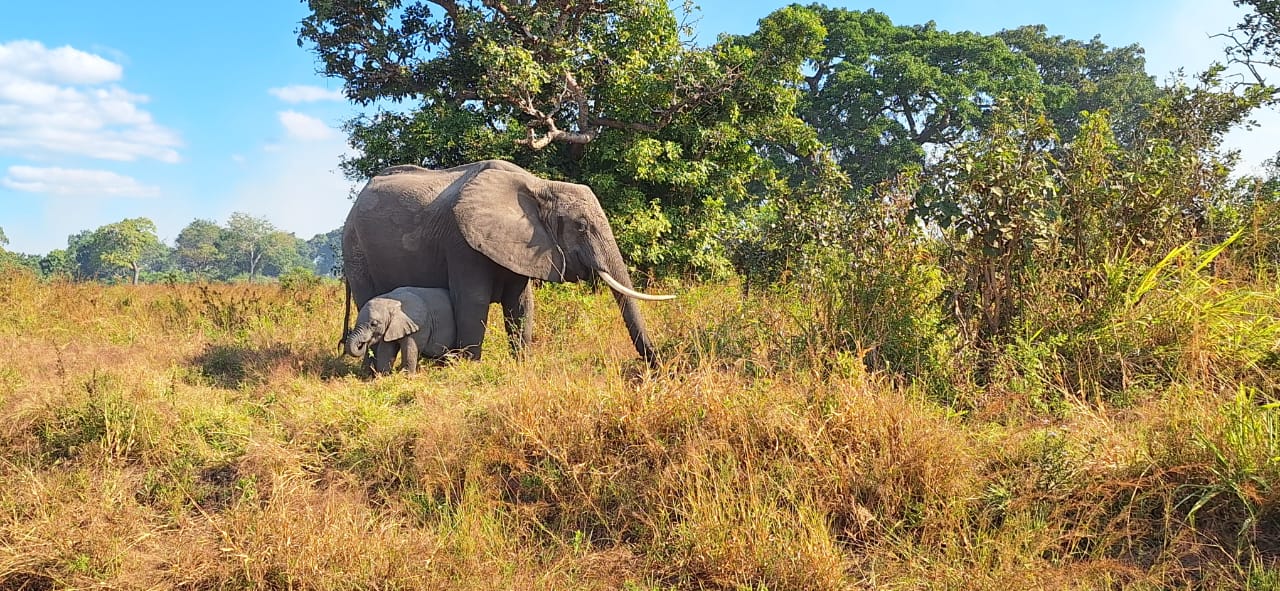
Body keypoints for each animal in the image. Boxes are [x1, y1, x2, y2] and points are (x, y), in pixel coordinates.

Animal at [342, 160, 673, 362]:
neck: (539, 185)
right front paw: (469, 369)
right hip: (355, 248)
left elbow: (522, 303)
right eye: (581, 226)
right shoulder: (461, 244)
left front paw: (522, 365)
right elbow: (472, 302)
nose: (656, 365)